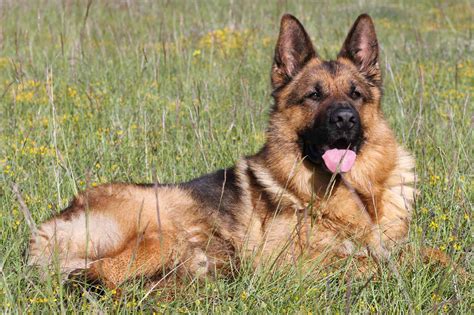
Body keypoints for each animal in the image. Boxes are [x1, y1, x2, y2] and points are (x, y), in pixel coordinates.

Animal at [29, 13, 416, 288]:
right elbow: (371, 260)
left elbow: (405, 252)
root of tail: (48, 227)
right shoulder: (289, 263)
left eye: (355, 94)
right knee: (94, 276)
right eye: (314, 95)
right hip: (167, 231)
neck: (357, 192)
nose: (345, 120)